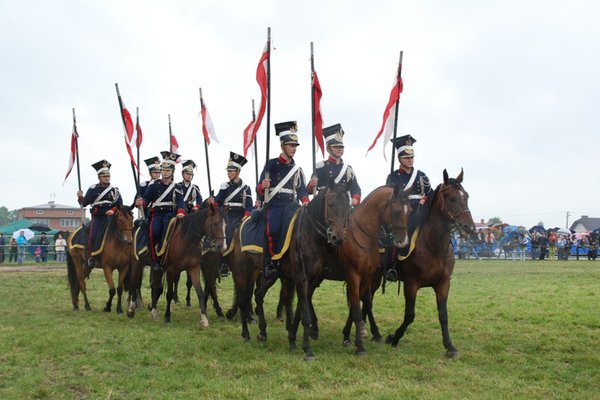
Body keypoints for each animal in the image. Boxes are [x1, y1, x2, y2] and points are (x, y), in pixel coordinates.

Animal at [288, 184, 410, 356]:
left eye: (410, 211)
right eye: (398, 211)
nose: (403, 241)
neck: (363, 238)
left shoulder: (367, 277)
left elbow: (358, 305)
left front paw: (348, 336)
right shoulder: (354, 277)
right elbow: (358, 308)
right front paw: (360, 344)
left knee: (305, 299)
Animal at [384, 170, 478, 358]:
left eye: (466, 196)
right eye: (451, 198)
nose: (469, 228)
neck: (434, 247)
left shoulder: (443, 283)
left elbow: (443, 315)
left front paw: (450, 346)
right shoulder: (411, 284)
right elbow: (409, 315)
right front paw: (394, 337)